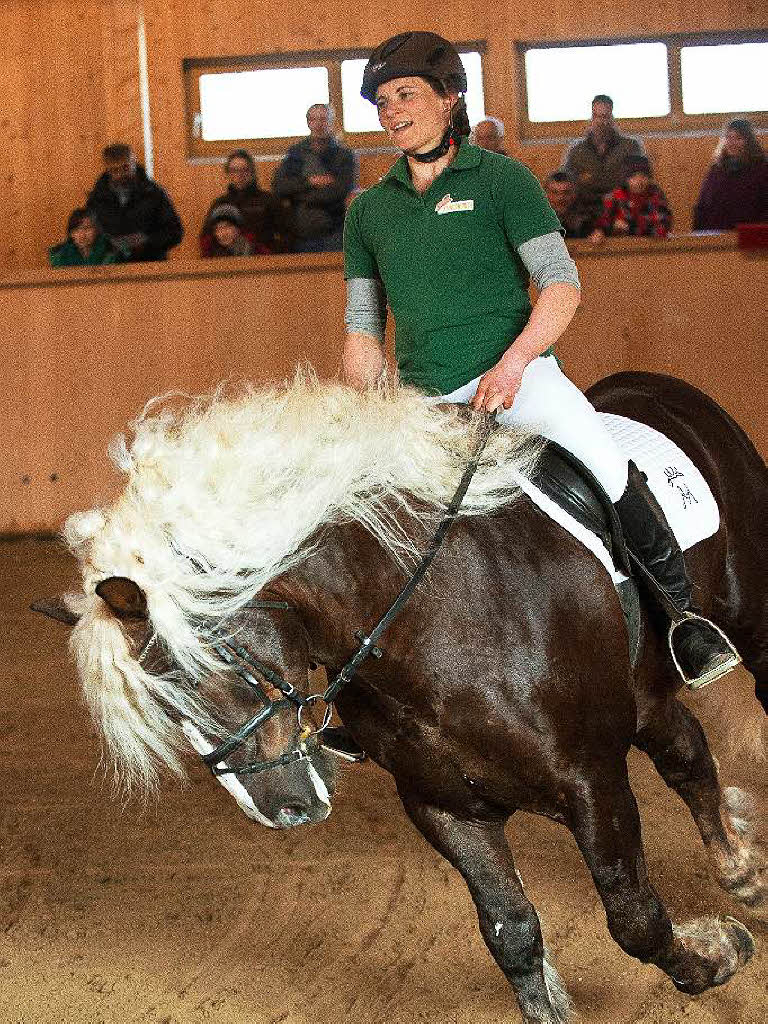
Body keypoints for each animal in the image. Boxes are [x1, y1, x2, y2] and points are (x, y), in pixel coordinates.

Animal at [34, 370, 765, 1024]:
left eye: (220, 659)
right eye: (167, 707)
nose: (284, 811)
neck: (428, 627)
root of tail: (665, 389)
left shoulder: (591, 778)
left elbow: (633, 916)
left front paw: (718, 956)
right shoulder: (442, 803)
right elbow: (512, 933)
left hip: (747, 625)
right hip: (641, 694)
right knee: (686, 751)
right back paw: (740, 871)